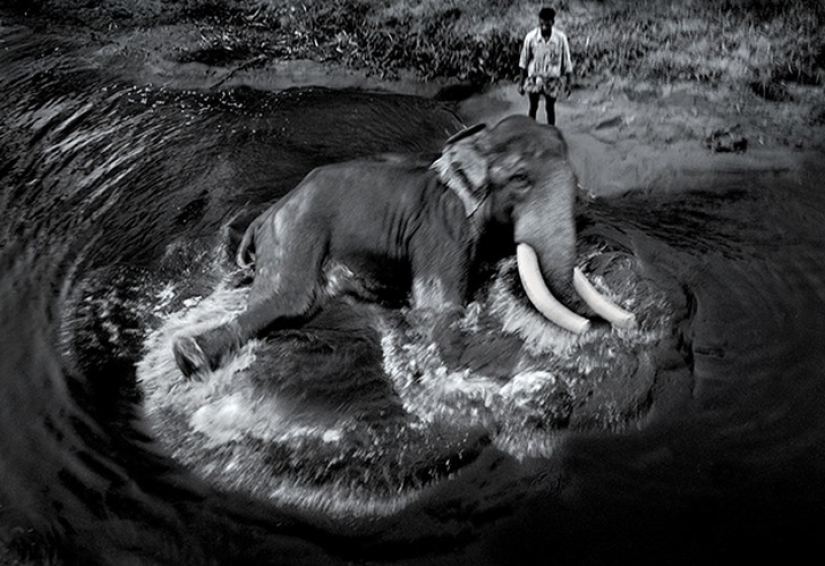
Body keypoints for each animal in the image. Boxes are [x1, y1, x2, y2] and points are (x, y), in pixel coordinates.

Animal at [173, 115, 635, 379]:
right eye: (520, 179)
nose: (607, 327)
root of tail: (267, 216)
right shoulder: (441, 231)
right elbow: (439, 313)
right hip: (298, 234)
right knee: (287, 301)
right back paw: (188, 357)